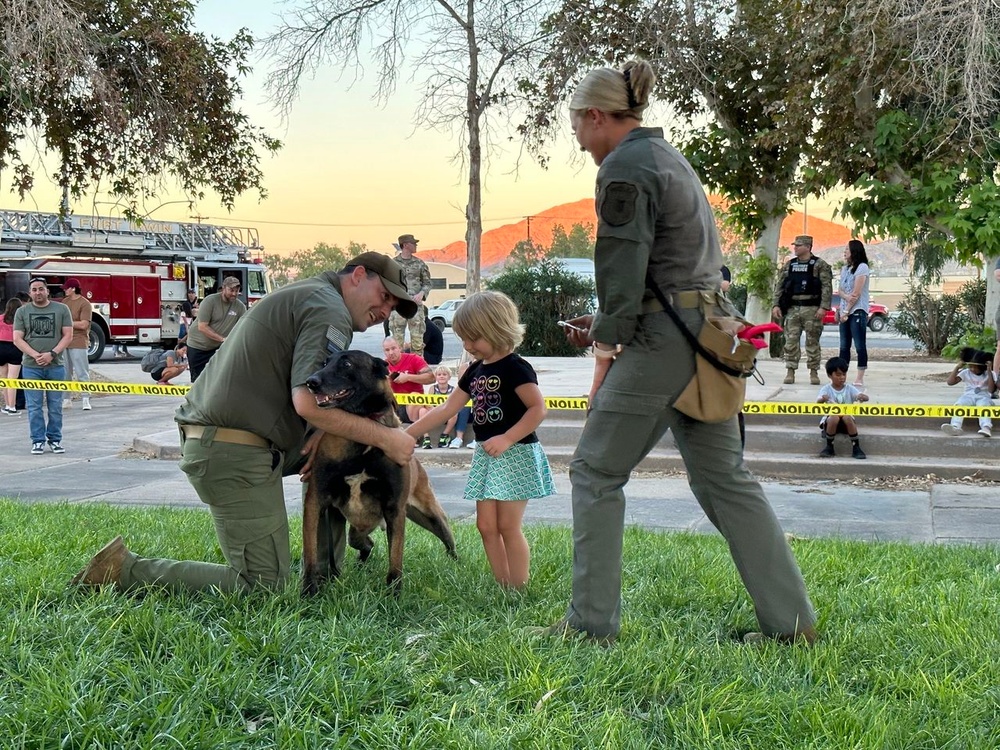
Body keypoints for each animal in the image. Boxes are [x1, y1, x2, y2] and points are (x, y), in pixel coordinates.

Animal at [302, 350, 458, 596]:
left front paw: (394, 594)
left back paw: (455, 566)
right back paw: (360, 563)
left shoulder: (395, 510)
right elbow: (311, 553)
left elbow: (395, 557)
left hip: (433, 517)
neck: (364, 431)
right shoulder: (315, 502)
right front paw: (309, 591)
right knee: (366, 544)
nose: (311, 382)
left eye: (347, 364)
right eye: (326, 362)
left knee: (449, 542)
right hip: (357, 532)